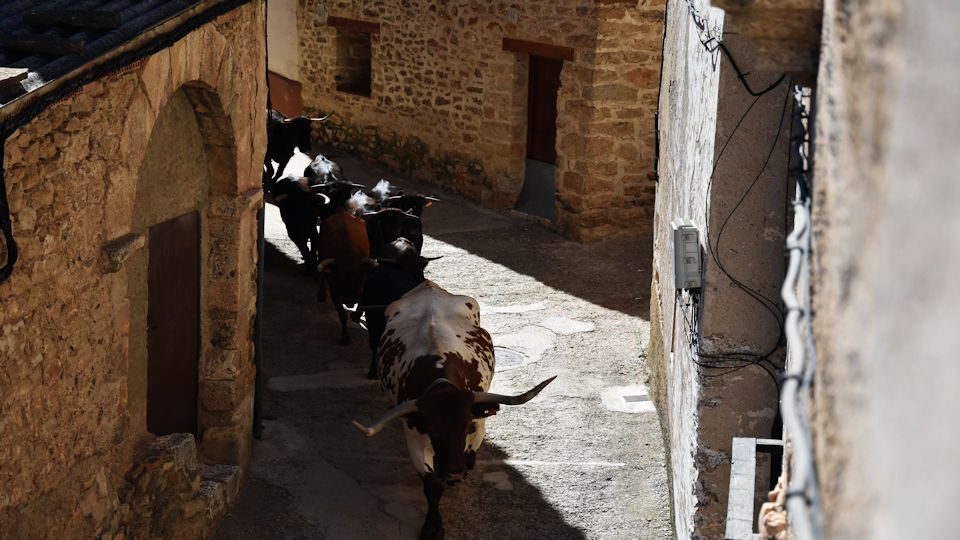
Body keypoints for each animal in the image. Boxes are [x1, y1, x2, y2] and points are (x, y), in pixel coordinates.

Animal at [316, 207, 378, 345]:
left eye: (358, 276)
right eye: (339, 277)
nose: (349, 299)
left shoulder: (362, 285)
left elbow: (362, 302)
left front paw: (356, 315)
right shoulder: (335, 290)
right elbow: (342, 314)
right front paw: (345, 337)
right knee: (322, 275)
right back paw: (321, 294)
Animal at [352, 280, 556, 539]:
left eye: (467, 426)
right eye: (431, 429)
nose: (454, 473)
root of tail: (428, 285)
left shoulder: (478, 425)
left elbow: (469, 451)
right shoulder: (414, 436)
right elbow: (431, 486)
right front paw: (432, 526)